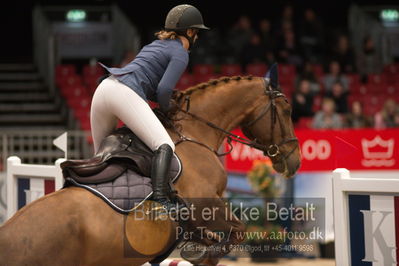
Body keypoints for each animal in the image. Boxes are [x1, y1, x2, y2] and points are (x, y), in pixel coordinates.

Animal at [0, 66, 300, 266]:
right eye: (286, 109)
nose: (294, 160)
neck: (195, 133)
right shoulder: (205, 202)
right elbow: (237, 232)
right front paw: (200, 252)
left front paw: (200, 246)